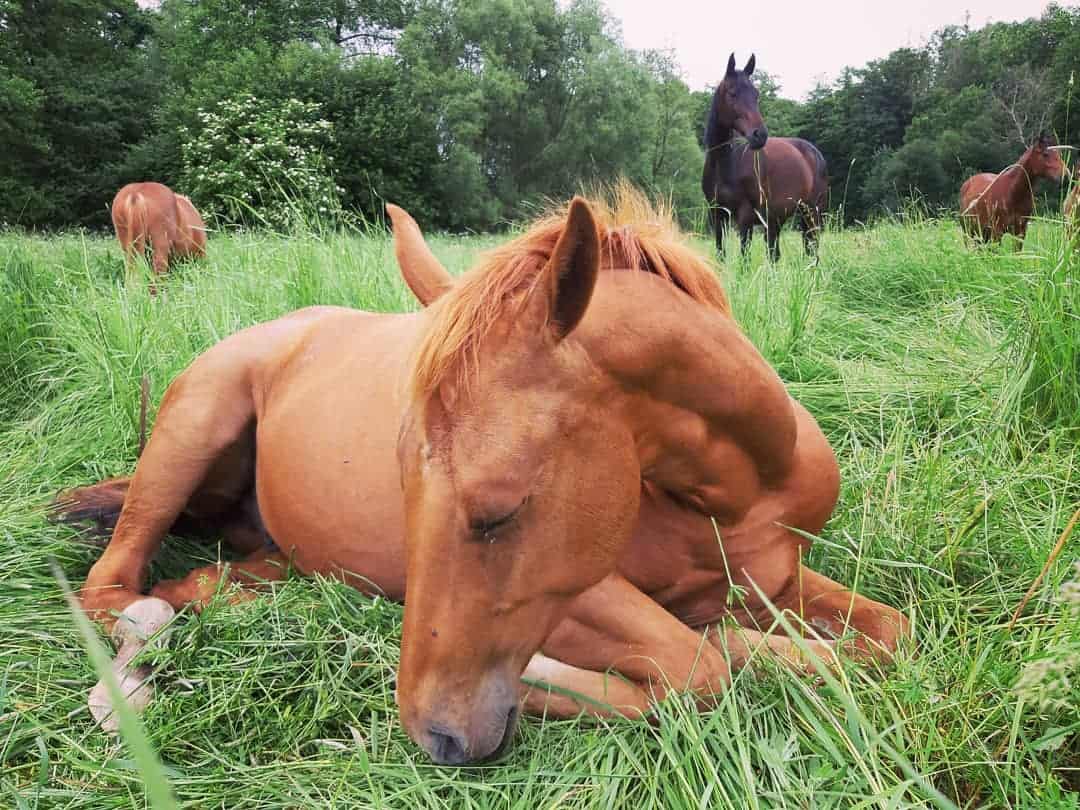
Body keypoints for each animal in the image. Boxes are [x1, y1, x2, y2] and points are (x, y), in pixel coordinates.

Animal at [56, 189, 902, 768]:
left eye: (496, 511)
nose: (436, 734)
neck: (738, 495)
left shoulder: (775, 579)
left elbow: (889, 635)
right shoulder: (581, 590)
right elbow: (696, 661)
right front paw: (562, 679)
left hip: (265, 555)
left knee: (193, 585)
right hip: (191, 428)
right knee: (113, 588)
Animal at [699, 54, 825, 263]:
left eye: (756, 94)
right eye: (732, 93)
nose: (760, 135)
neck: (726, 164)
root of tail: (814, 152)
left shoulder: (745, 216)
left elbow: (744, 259)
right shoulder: (717, 215)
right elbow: (720, 255)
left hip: (811, 213)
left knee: (812, 250)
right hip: (776, 220)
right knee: (775, 254)